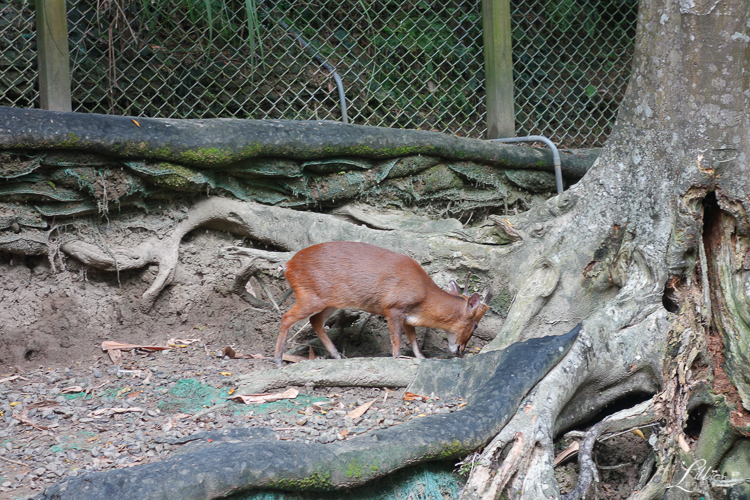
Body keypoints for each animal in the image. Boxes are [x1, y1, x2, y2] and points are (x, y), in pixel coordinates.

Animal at [276, 242, 494, 368]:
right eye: (475, 325)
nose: (460, 350)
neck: (424, 295)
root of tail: (287, 266)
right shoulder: (394, 306)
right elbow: (396, 339)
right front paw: (399, 358)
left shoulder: (408, 316)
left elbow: (413, 339)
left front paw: (421, 357)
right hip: (310, 295)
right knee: (287, 316)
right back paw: (278, 360)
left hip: (329, 300)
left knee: (315, 321)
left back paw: (337, 355)